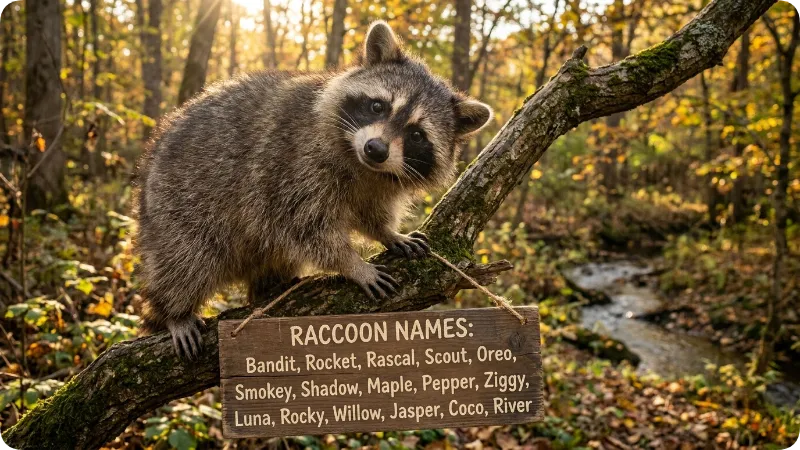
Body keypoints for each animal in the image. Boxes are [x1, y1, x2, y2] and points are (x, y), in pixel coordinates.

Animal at [134, 21, 493, 358]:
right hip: (174, 204)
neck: (362, 164)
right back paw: (175, 310)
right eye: (378, 106)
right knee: (186, 259)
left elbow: (370, 212)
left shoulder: (377, 183)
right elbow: (303, 225)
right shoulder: (288, 161)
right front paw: (351, 263)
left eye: (417, 134)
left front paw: (387, 232)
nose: (376, 149)